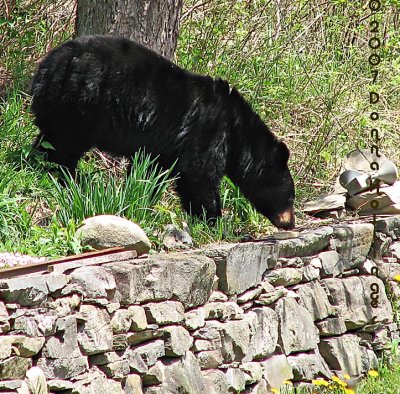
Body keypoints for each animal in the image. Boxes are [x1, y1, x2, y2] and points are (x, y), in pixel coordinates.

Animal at [29, 36, 296, 229]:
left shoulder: (165, 147)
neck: (237, 132)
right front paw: (214, 221)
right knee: (62, 146)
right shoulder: (209, 133)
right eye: (291, 197)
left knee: (49, 141)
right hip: (78, 103)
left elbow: (152, 171)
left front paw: (144, 196)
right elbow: (199, 176)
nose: (290, 224)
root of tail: (46, 66)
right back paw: (63, 176)